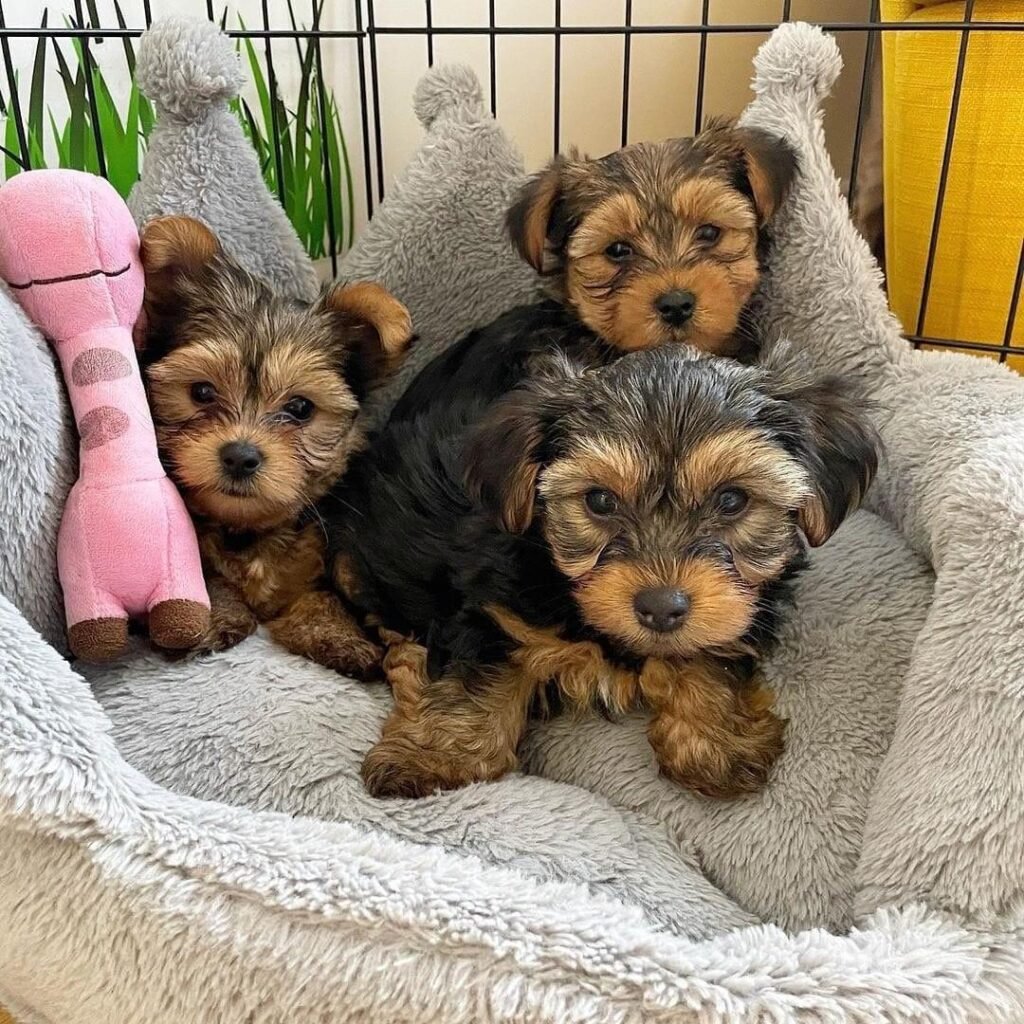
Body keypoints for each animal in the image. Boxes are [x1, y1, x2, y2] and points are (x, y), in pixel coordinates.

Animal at [139, 216, 411, 671]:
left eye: (300, 407)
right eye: (202, 392)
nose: (240, 456)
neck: (246, 530)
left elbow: (321, 593)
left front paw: (336, 633)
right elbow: (203, 575)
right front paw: (210, 617)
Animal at [329, 348, 880, 802]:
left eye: (732, 499)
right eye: (599, 500)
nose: (661, 606)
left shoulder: (738, 608)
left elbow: (710, 652)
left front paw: (718, 741)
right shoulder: (491, 607)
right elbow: (474, 677)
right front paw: (435, 757)